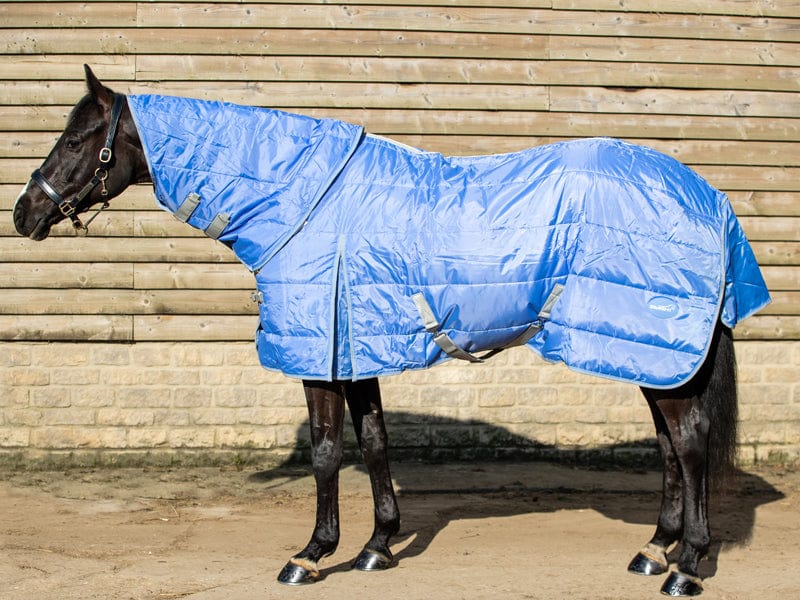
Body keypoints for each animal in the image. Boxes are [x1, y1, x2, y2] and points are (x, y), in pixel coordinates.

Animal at [13, 66, 770, 596]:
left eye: (77, 139)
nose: (24, 213)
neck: (304, 199)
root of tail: (709, 198)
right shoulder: (356, 346)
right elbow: (374, 441)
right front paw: (377, 547)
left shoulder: (320, 356)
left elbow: (326, 452)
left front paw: (311, 555)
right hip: (648, 353)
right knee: (671, 444)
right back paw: (655, 550)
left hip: (657, 349)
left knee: (691, 443)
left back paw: (689, 565)